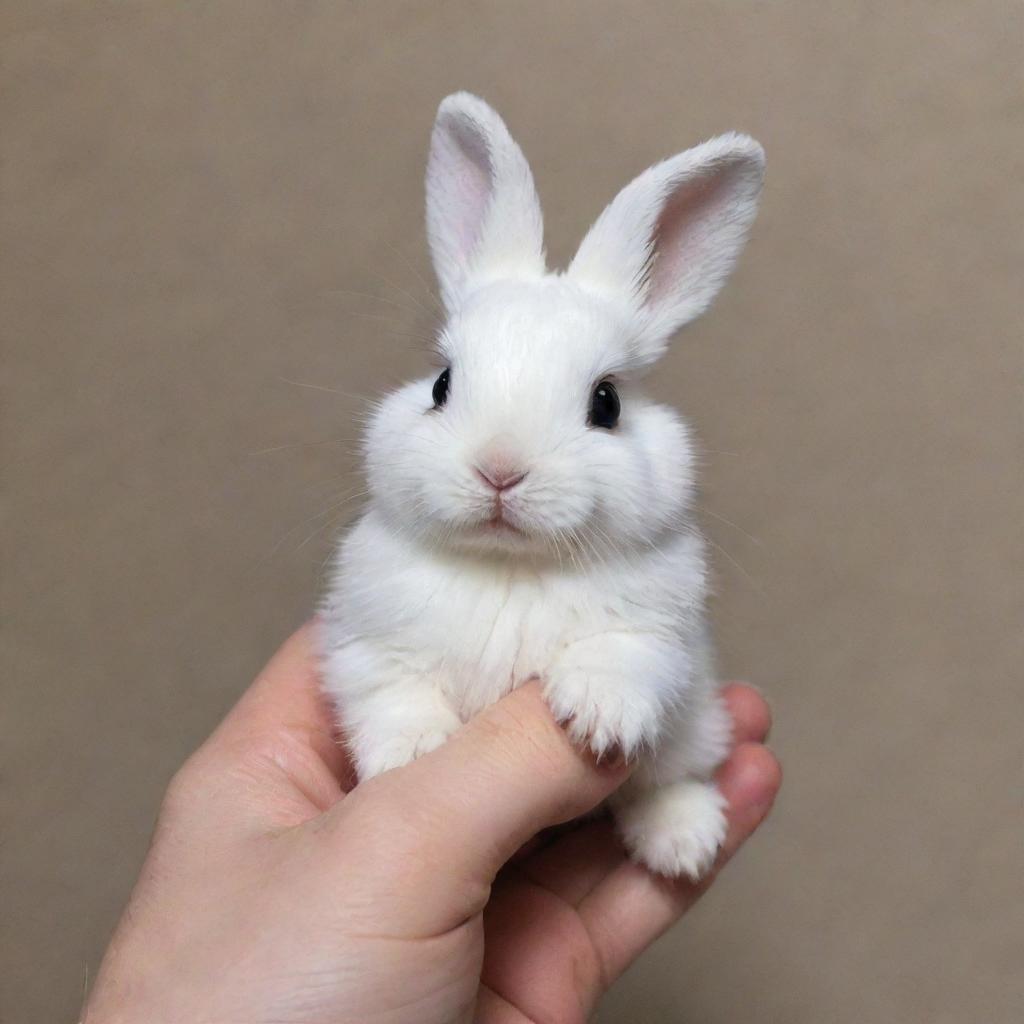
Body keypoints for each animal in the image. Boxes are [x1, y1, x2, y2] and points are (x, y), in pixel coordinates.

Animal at [319, 92, 761, 876]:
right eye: (441, 384)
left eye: (606, 403)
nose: (500, 468)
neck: (512, 569)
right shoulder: (366, 644)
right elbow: (393, 695)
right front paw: (412, 755)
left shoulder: (662, 637)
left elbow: (622, 658)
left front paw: (599, 717)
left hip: (699, 723)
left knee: (669, 778)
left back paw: (683, 842)